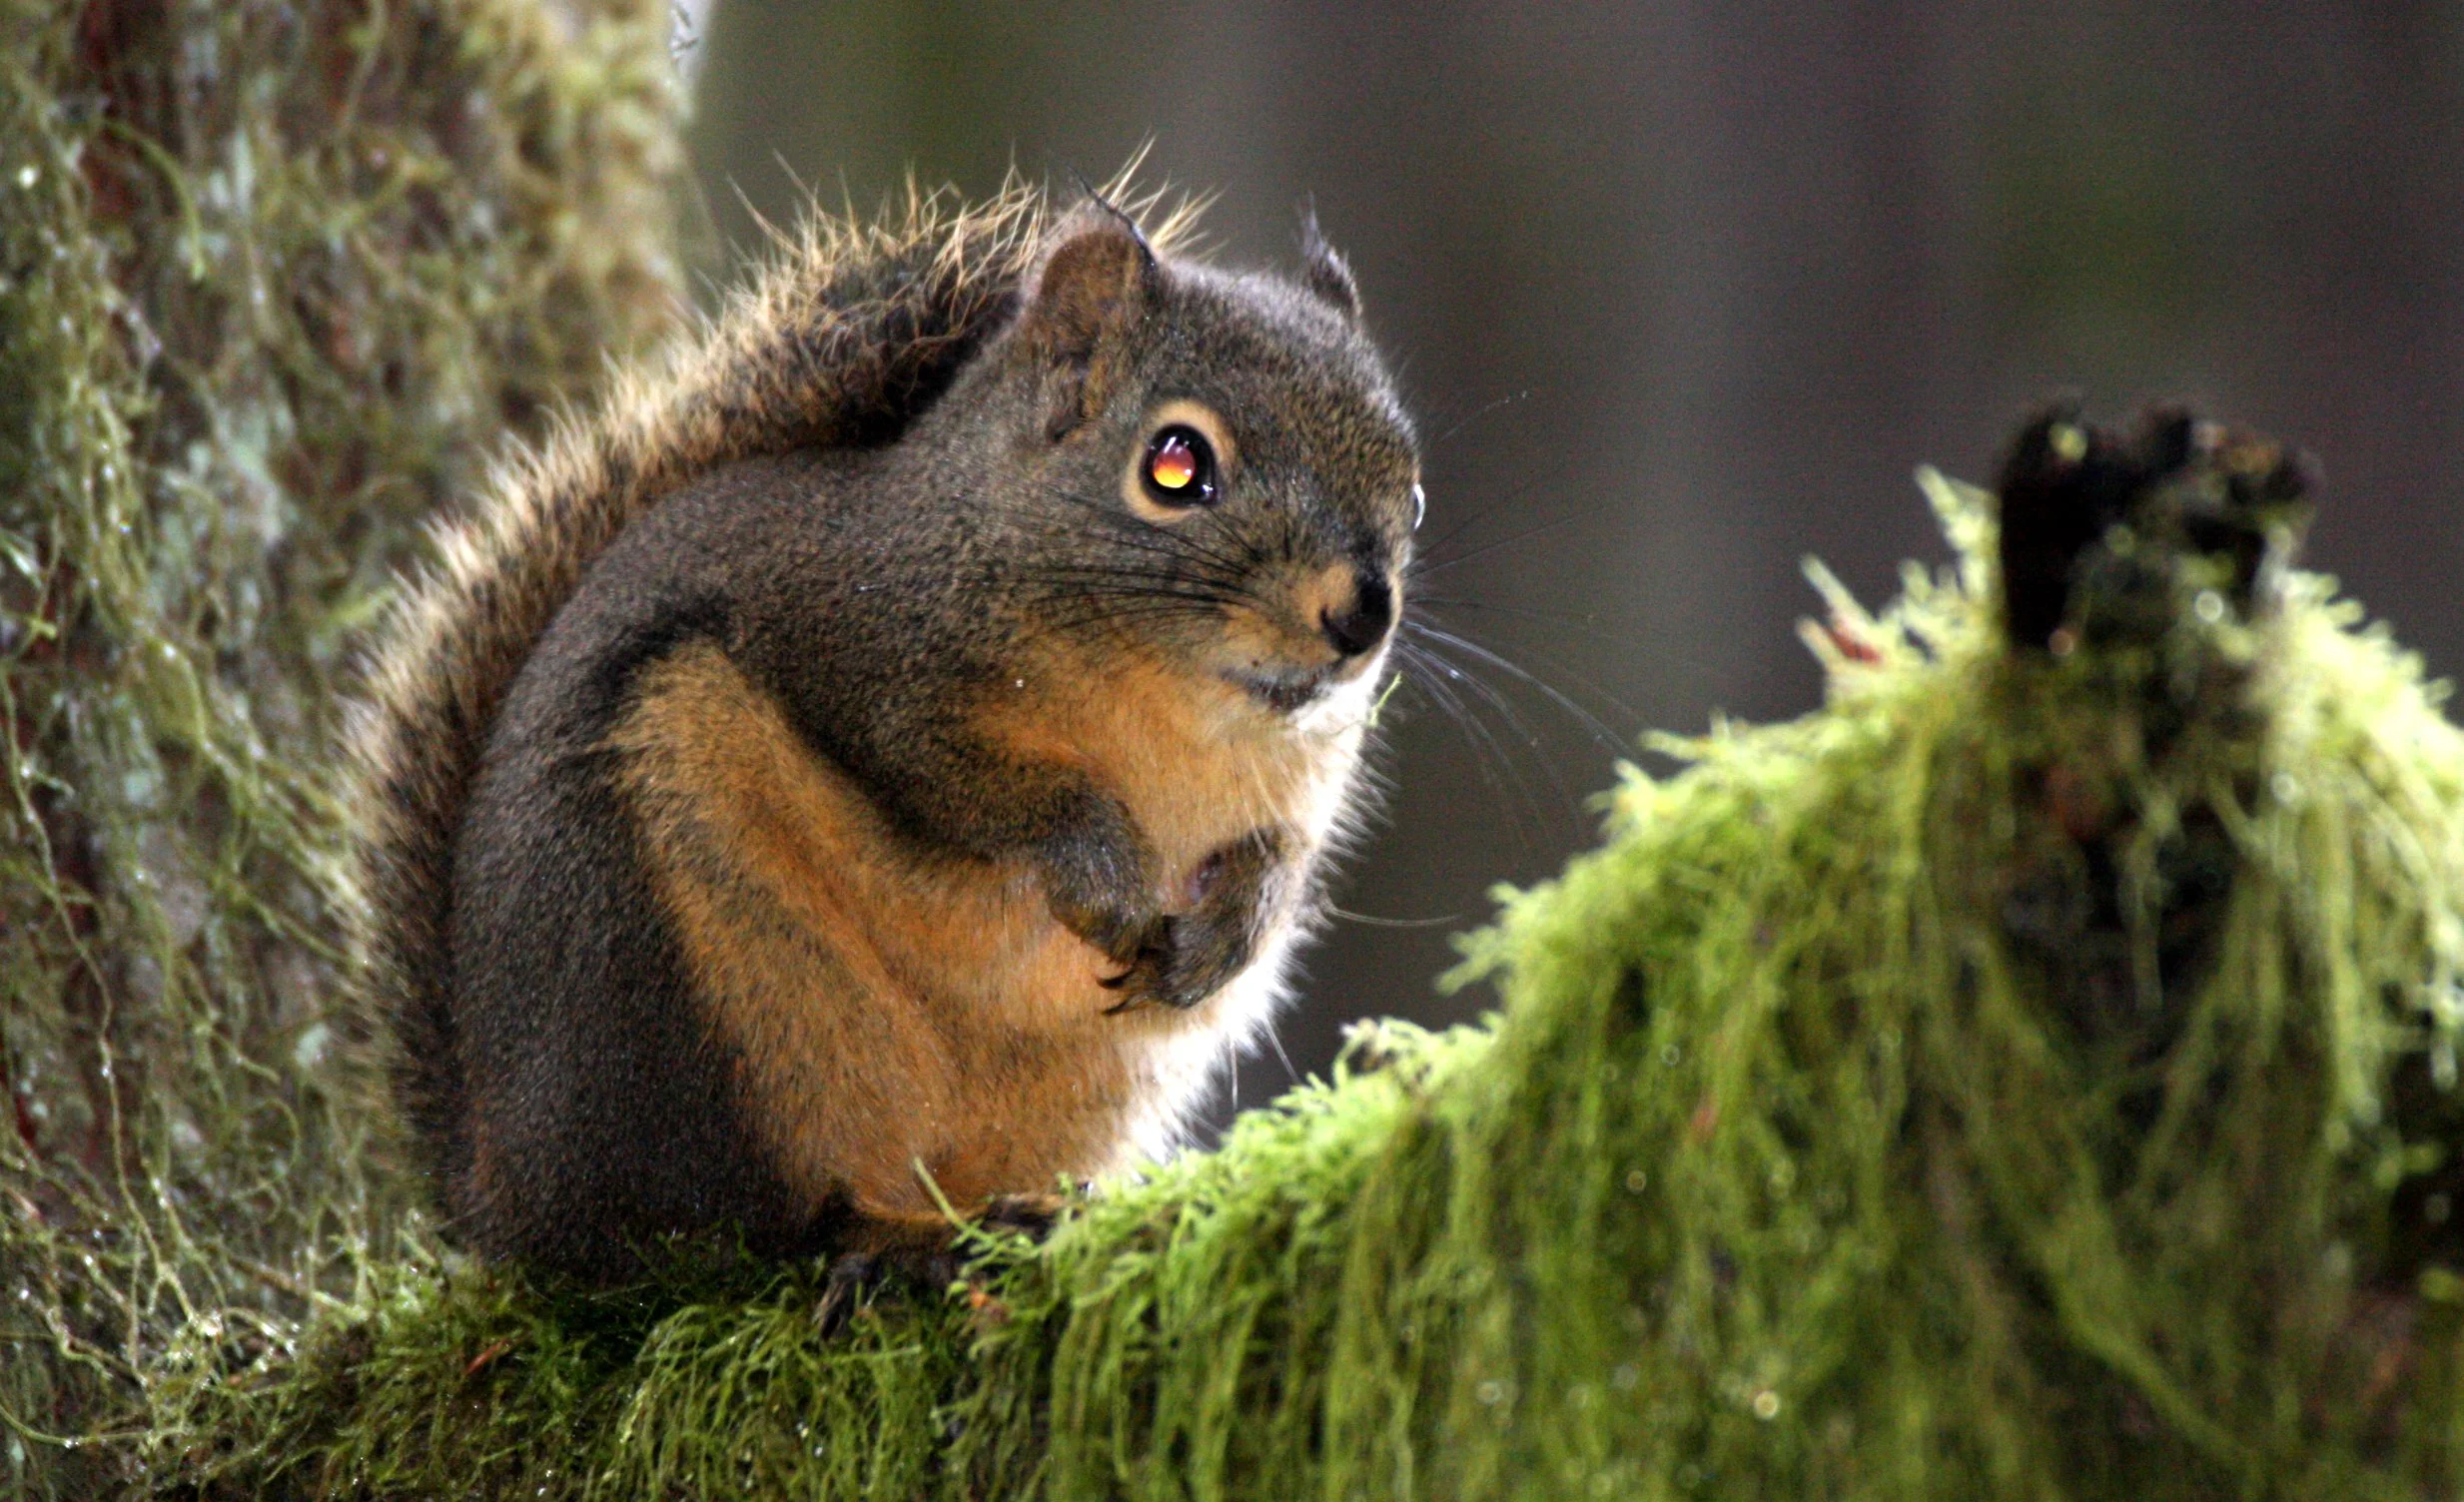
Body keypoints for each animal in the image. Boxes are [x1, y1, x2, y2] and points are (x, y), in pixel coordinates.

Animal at [347, 177, 1422, 1280]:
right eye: (1175, 466)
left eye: (1412, 488)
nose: (1360, 616)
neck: (1172, 706)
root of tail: (503, 1195)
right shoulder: (851, 648)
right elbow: (968, 786)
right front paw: (1101, 870)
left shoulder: (1299, 787)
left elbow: (1281, 856)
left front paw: (1228, 931)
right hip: (695, 988)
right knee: (725, 1228)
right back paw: (881, 1237)